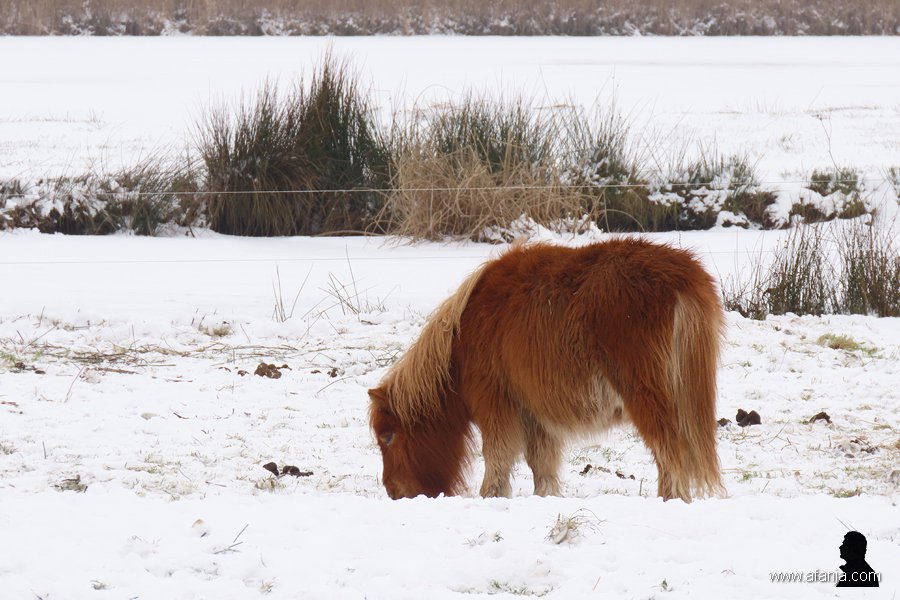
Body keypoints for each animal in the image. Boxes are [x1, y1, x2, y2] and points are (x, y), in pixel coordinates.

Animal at [369, 238, 725, 502]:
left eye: (388, 437)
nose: (393, 493)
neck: (460, 335)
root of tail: (683, 279)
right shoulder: (534, 412)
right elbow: (541, 462)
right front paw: (546, 498)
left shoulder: (495, 403)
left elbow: (498, 454)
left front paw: (491, 496)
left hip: (646, 395)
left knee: (671, 453)